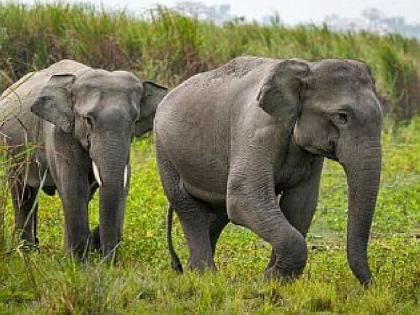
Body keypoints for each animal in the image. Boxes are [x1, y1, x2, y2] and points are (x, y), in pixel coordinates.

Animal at [0, 59, 167, 260]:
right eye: (88, 120)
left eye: (134, 122)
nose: (107, 261)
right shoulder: (60, 134)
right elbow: (74, 187)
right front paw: (77, 261)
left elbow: (108, 187)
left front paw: (75, 256)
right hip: (12, 151)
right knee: (22, 194)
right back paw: (26, 253)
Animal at [155, 57, 384, 286]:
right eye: (342, 117)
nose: (372, 284)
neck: (307, 68)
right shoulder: (257, 129)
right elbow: (243, 198)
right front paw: (269, 280)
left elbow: (300, 205)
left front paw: (274, 279)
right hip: (164, 151)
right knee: (188, 207)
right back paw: (204, 275)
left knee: (218, 212)